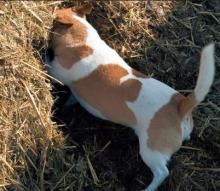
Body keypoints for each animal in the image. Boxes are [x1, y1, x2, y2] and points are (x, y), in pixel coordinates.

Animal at [46, 4, 215, 191]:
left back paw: (148, 188)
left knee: (162, 172)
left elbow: (48, 69)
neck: (83, 40)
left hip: (150, 152)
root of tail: (180, 105)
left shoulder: (57, 73)